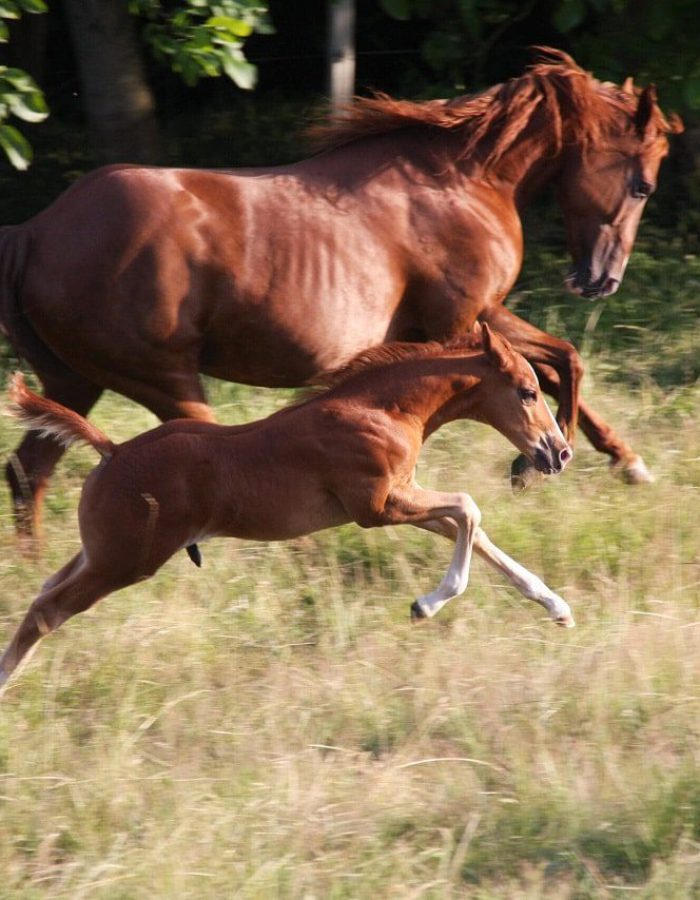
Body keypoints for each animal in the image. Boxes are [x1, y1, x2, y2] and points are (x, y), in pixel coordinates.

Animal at [0, 47, 680, 539]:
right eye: (642, 184)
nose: (600, 280)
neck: (462, 180)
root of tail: (33, 231)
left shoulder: (463, 324)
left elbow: (559, 361)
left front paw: (614, 462)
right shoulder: (463, 318)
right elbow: (564, 360)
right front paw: (542, 464)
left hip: (73, 381)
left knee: (27, 469)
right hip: (167, 382)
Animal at [0, 324, 574, 687]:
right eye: (527, 392)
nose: (559, 452)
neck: (380, 409)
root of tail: (112, 449)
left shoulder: (404, 497)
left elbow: (474, 532)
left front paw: (557, 608)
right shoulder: (379, 506)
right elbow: (469, 508)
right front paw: (425, 605)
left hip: (99, 551)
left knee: (45, 590)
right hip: (126, 561)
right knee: (47, 610)